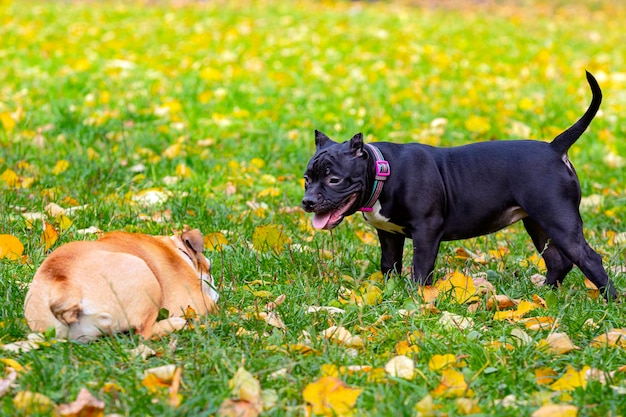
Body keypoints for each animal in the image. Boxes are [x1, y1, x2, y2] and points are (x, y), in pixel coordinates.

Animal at [23, 226, 218, 340]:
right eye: (209, 269)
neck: (176, 250)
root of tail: (64, 285)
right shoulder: (197, 301)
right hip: (145, 276)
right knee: (144, 333)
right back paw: (178, 324)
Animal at [302, 72, 616, 300]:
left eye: (333, 179)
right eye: (306, 179)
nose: (307, 202)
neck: (383, 170)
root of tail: (554, 148)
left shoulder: (426, 231)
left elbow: (421, 268)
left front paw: (418, 299)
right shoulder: (389, 235)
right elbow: (389, 266)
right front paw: (390, 292)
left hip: (558, 220)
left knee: (589, 258)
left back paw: (609, 302)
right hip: (538, 223)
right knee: (557, 261)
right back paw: (543, 295)